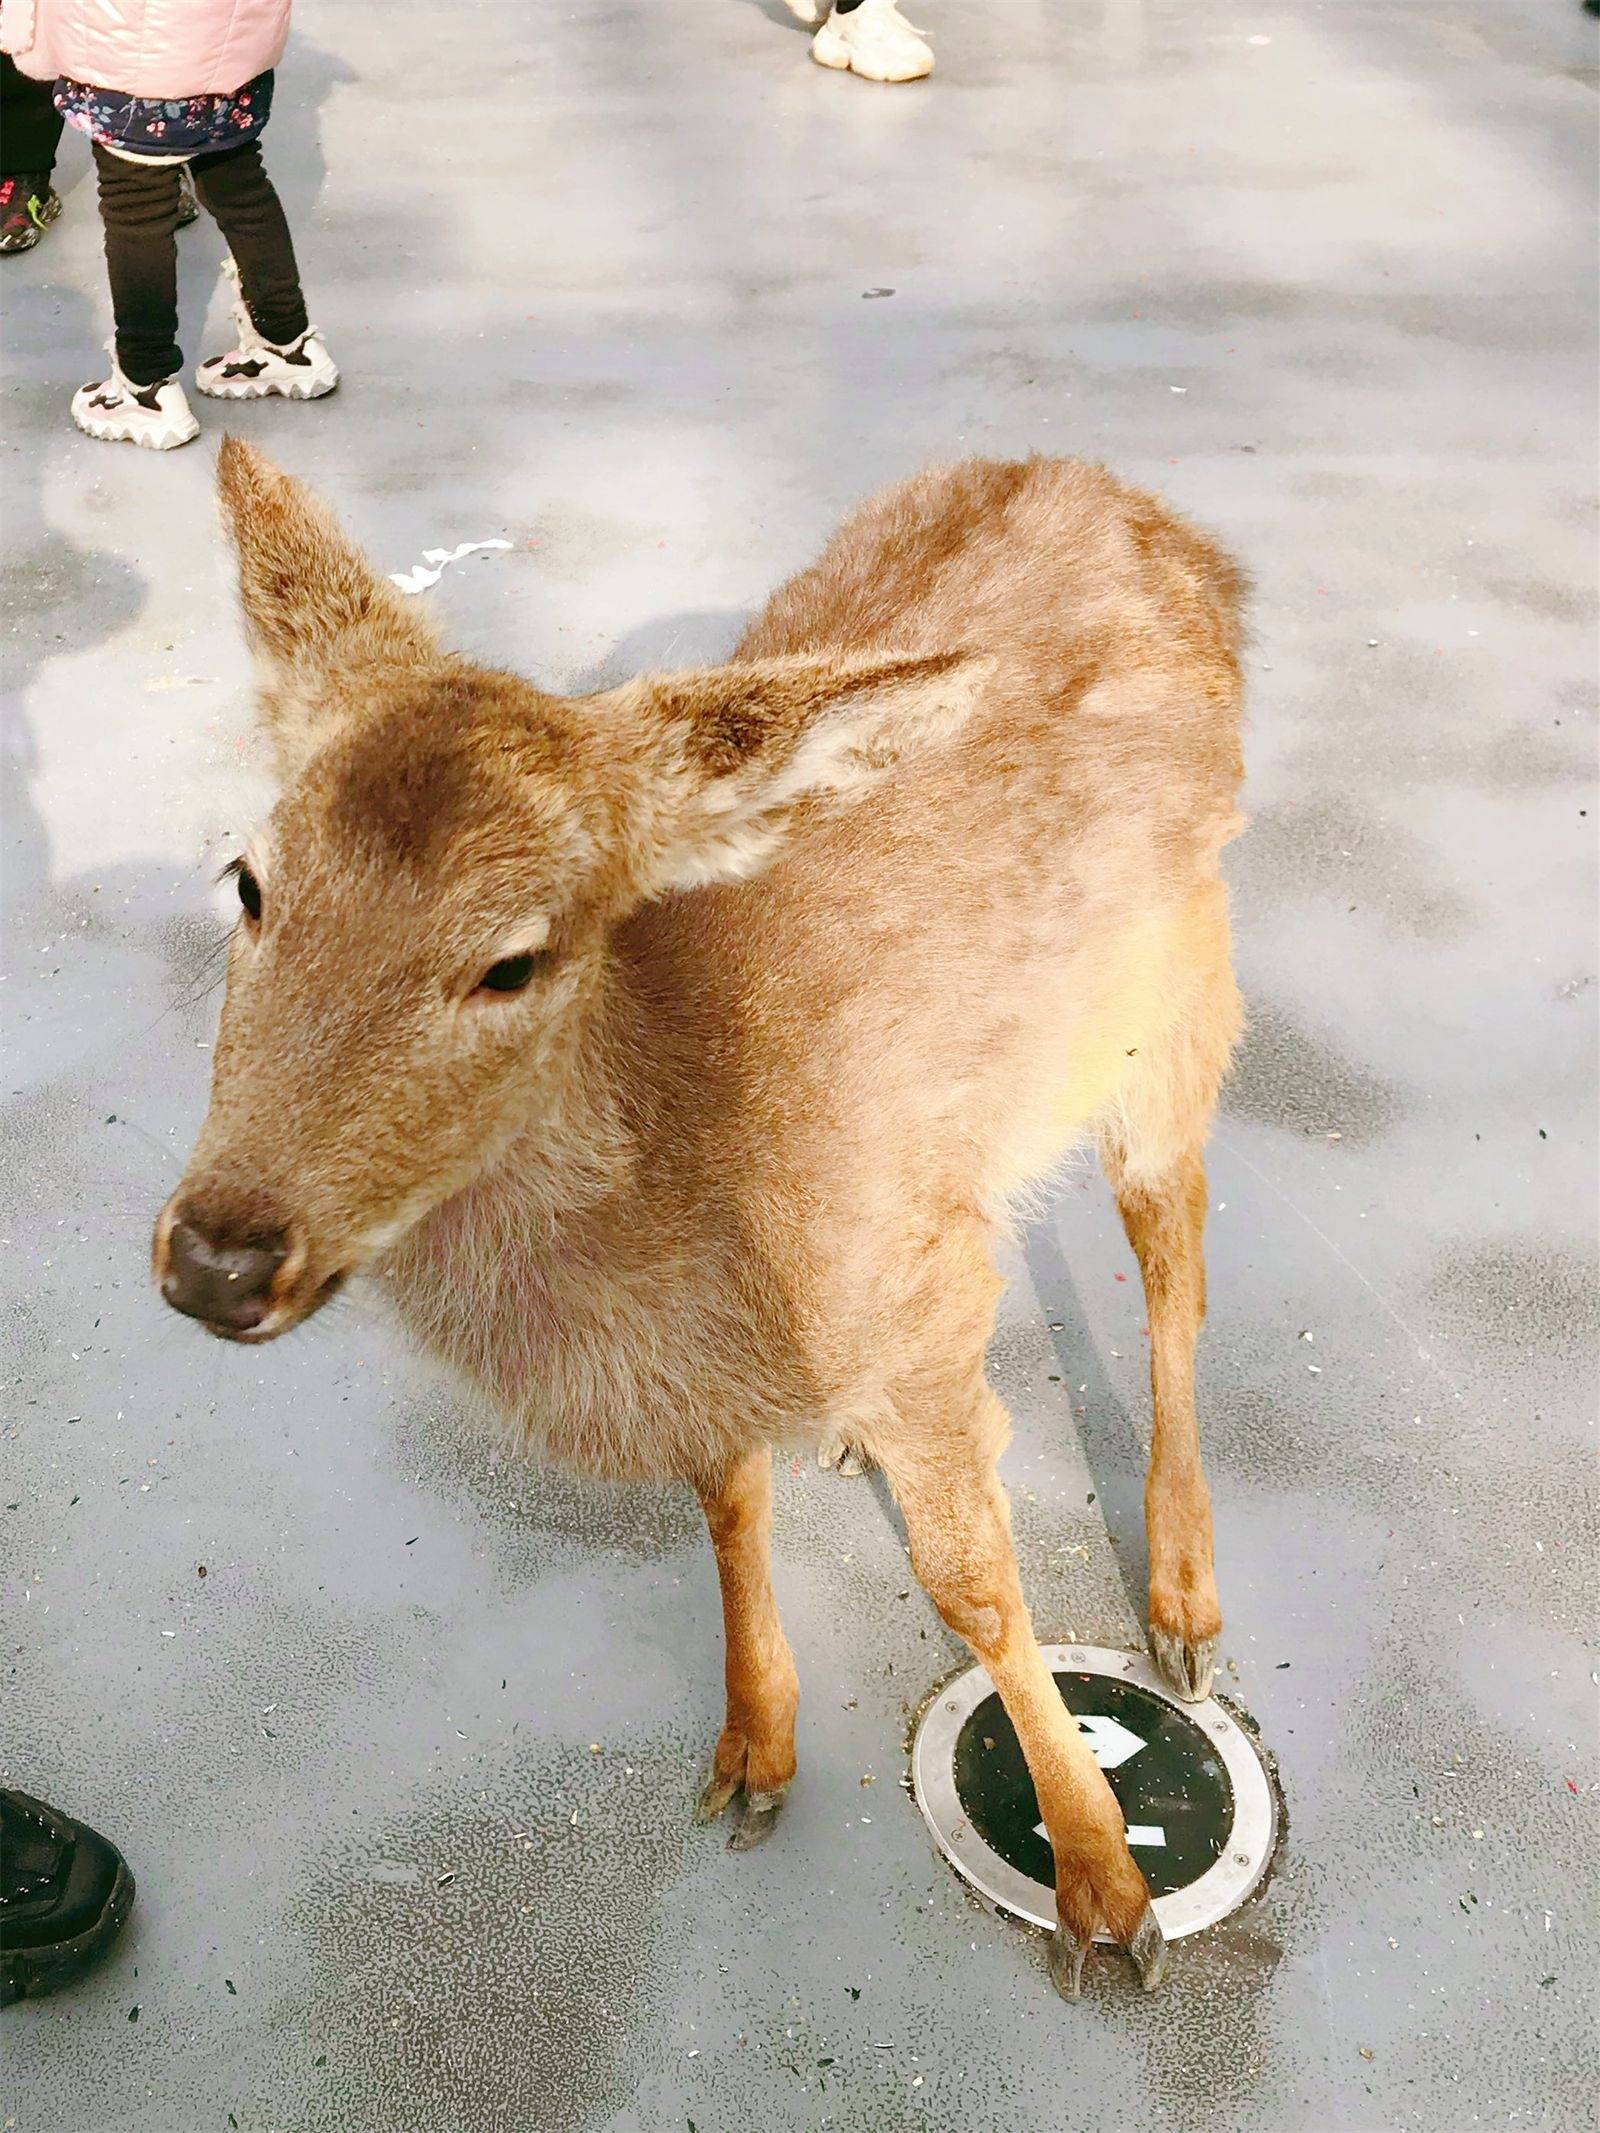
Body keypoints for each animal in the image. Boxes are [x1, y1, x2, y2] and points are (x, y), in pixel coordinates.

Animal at [153, 432, 1254, 1996]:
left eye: (513, 961)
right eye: (248, 881)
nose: (218, 1256)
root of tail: (1170, 528)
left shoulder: (911, 1287)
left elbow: (974, 1583)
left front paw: (1106, 1889)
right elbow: (728, 1496)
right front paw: (751, 1753)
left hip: (1175, 1005)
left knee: (1175, 1259)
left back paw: (1182, 1609)